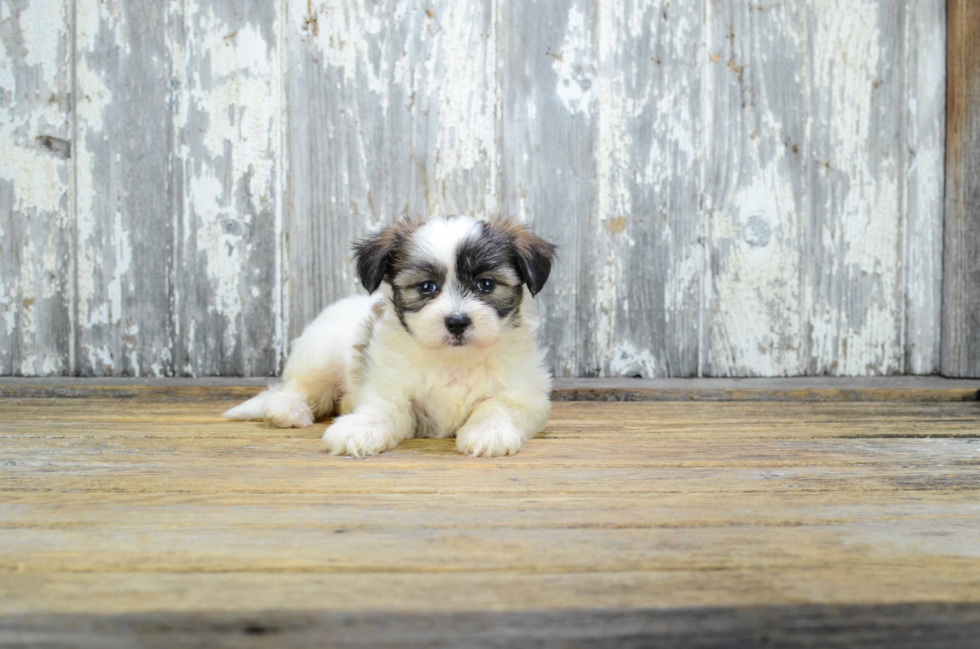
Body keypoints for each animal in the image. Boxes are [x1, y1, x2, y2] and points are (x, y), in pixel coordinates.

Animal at [224, 215, 560, 458]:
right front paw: (359, 428)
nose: (456, 322)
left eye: (486, 285)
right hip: (318, 354)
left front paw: (489, 431)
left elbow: (496, 405)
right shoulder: (390, 388)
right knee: (298, 387)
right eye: (426, 287)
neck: (453, 359)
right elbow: (383, 409)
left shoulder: (525, 394)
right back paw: (288, 409)